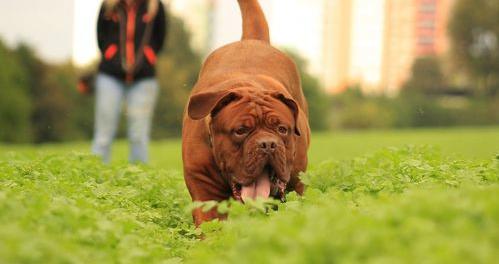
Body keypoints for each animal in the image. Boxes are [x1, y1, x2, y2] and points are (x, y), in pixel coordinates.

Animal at [182, 0, 310, 227]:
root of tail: (252, 40)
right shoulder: (204, 192)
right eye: (240, 130)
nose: (268, 144)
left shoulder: (296, 185)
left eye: (282, 129)